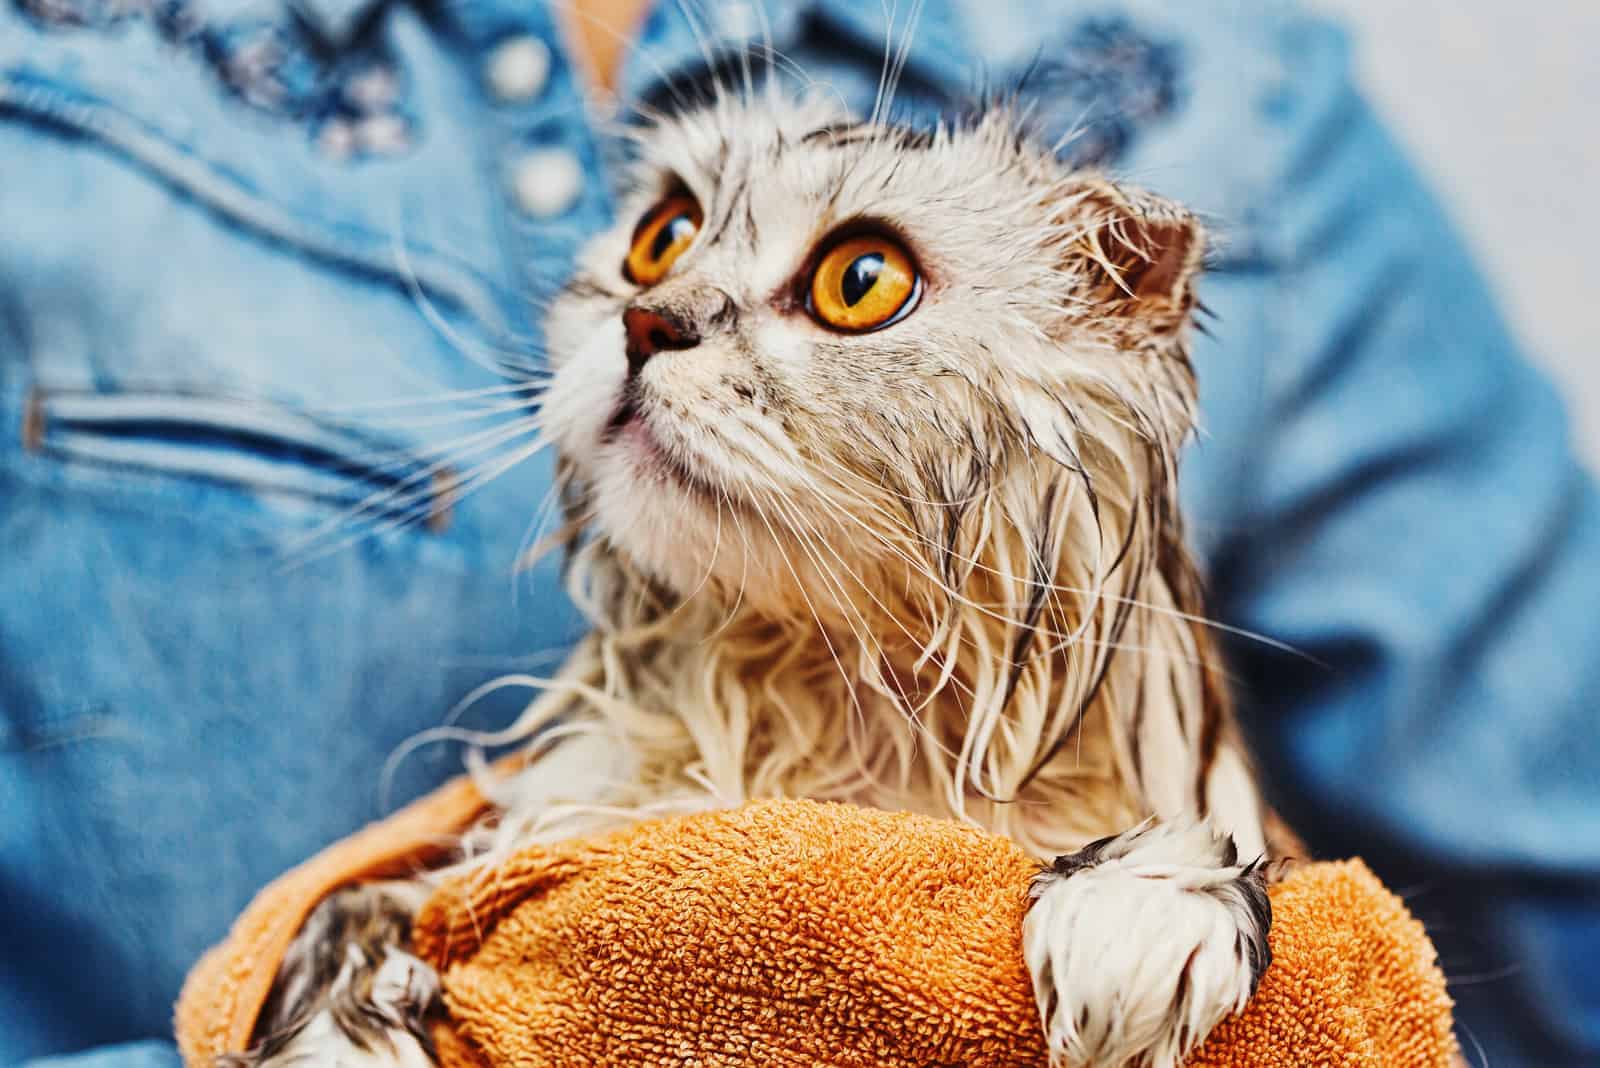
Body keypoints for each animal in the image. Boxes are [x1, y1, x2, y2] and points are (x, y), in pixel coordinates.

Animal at [233, 93, 1286, 1068]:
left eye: (861, 282)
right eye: (663, 237)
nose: (646, 320)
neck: (806, 713)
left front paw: (1143, 898)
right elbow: (340, 918)